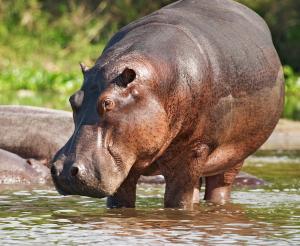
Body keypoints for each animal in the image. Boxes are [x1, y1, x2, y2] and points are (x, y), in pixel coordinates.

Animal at [51, 0, 284, 209]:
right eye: (72, 100)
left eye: (107, 103)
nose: (64, 171)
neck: (156, 85)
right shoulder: (126, 162)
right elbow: (120, 201)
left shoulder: (195, 150)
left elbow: (177, 202)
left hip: (233, 158)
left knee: (219, 187)